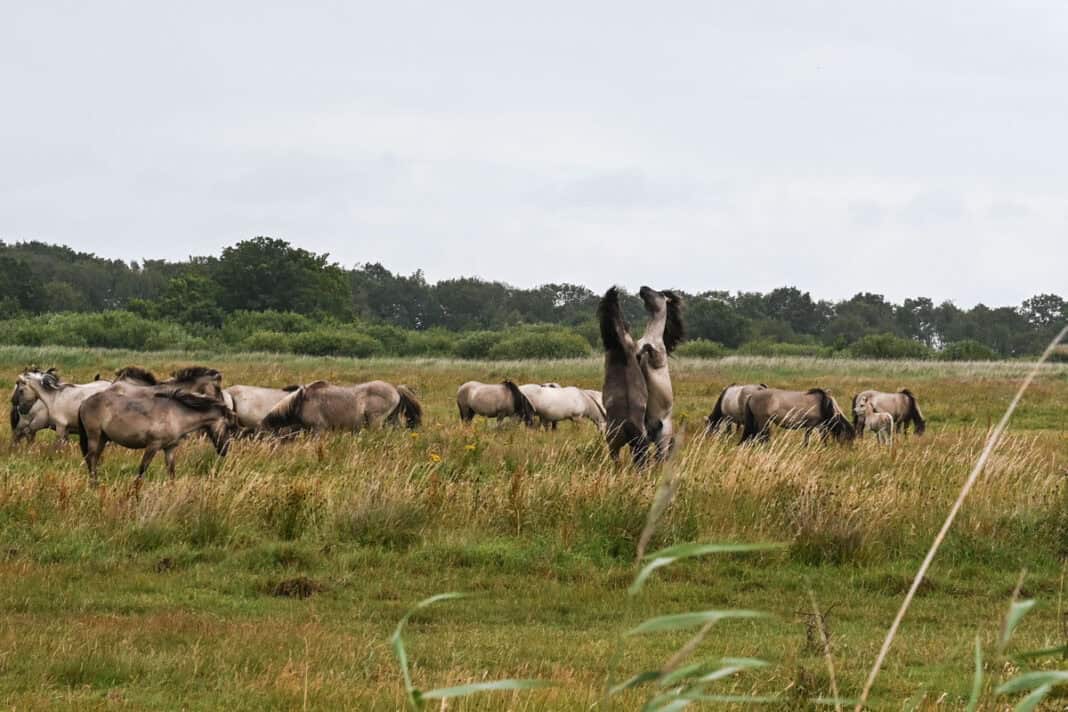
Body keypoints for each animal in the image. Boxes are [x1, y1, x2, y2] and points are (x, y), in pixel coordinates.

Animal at [77, 386, 240, 482]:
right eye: (228, 426)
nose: (225, 450)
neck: (176, 415)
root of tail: (84, 402)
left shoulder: (170, 448)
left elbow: (171, 472)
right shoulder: (153, 446)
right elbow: (142, 471)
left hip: (103, 438)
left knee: (94, 460)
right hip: (94, 436)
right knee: (91, 459)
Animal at [632, 288, 683, 463]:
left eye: (660, 294)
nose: (643, 288)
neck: (651, 336)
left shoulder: (659, 358)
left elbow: (650, 350)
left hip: (663, 437)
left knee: (661, 457)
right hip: (646, 434)